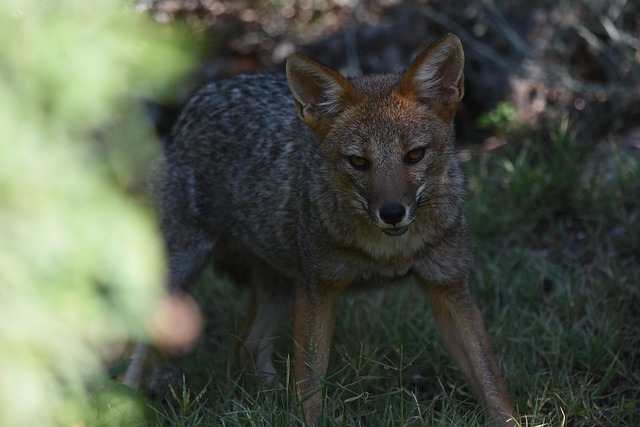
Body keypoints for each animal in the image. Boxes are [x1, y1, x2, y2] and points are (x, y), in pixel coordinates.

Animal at [124, 34, 517, 426]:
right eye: (358, 162)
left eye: (415, 155)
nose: (392, 213)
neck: (389, 252)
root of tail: (208, 92)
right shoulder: (319, 288)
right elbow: (310, 384)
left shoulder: (449, 285)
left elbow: (490, 377)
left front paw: (509, 418)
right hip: (185, 271)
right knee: (139, 350)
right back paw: (124, 401)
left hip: (280, 287)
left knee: (245, 345)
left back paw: (266, 401)